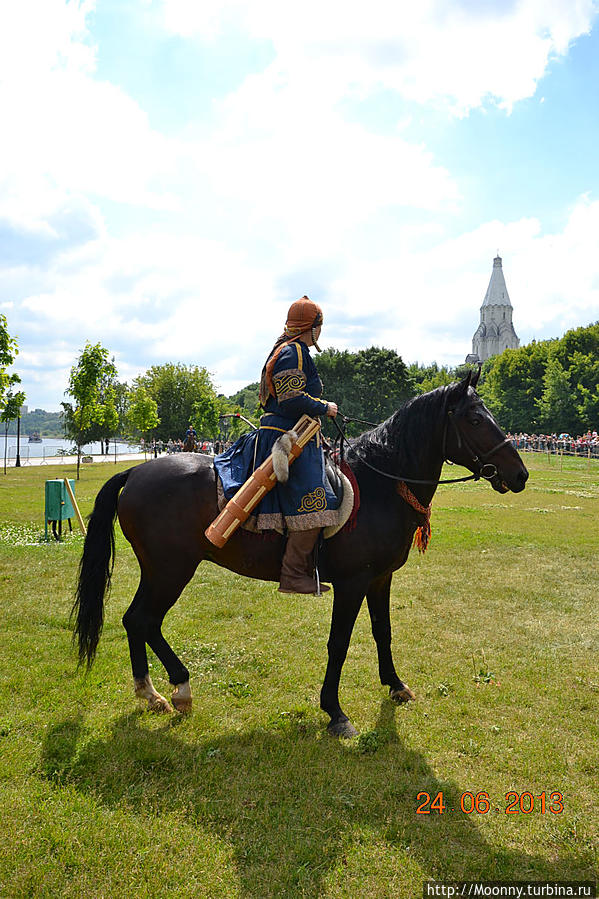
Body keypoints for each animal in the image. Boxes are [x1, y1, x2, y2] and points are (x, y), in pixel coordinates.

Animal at [72, 370, 528, 740]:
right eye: (474, 419)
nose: (520, 474)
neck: (381, 484)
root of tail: (136, 471)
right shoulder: (352, 584)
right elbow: (338, 643)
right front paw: (335, 712)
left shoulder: (381, 578)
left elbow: (383, 631)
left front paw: (396, 685)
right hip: (171, 570)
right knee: (144, 620)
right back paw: (177, 688)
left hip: (160, 571)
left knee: (135, 620)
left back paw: (151, 693)